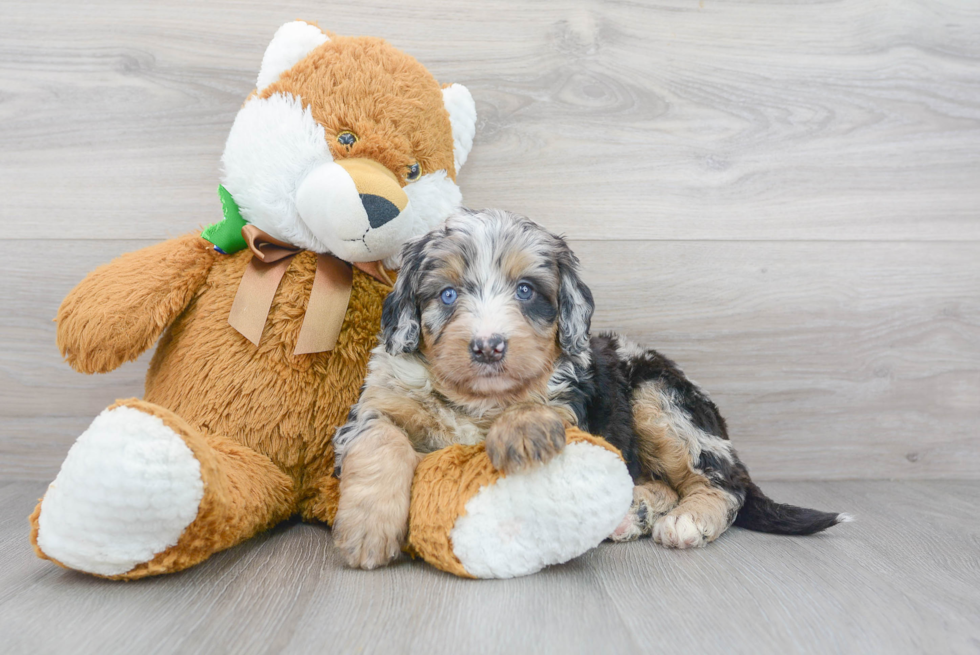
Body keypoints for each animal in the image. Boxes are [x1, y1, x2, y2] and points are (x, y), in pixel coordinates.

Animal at [332, 209, 848, 568]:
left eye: (526, 290)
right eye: (447, 294)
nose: (489, 347)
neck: (473, 400)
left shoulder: (571, 405)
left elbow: (537, 409)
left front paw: (522, 431)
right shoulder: (374, 403)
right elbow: (381, 441)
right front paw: (368, 532)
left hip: (658, 398)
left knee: (724, 482)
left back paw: (685, 521)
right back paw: (632, 513)